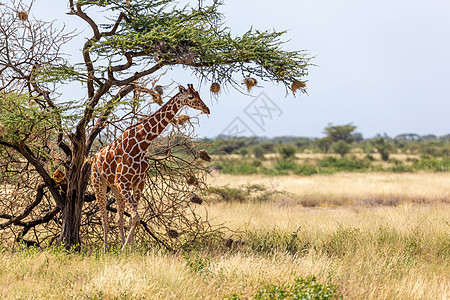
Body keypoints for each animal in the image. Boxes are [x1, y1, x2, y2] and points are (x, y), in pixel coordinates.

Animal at [91, 84, 211, 251]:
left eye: (198, 94)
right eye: (191, 97)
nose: (207, 109)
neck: (141, 144)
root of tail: (94, 158)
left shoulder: (138, 182)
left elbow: (133, 219)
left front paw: (129, 249)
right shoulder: (123, 182)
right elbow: (135, 217)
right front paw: (124, 249)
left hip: (115, 188)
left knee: (118, 219)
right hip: (98, 184)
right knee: (104, 218)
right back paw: (105, 250)